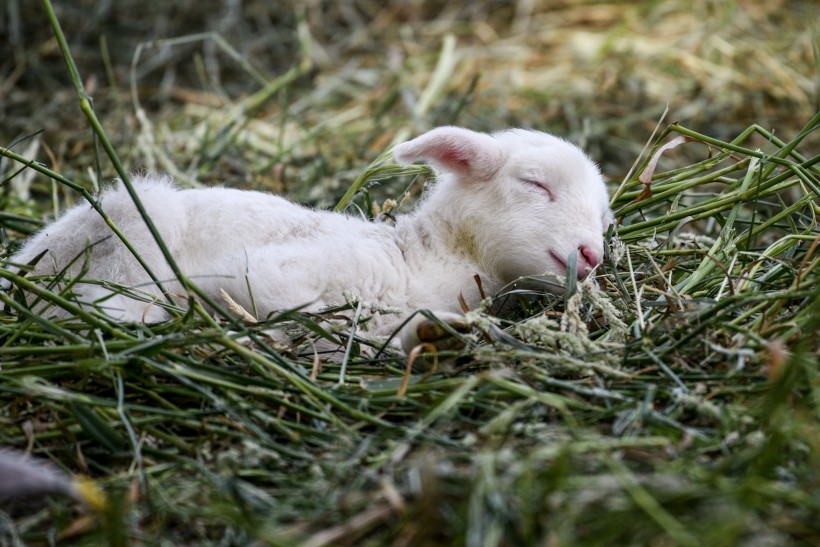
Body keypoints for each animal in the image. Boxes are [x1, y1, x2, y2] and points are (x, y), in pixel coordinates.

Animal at [4, 127, 608, 354]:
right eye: (535, 184)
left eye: (603, 215)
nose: (592, 255)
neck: (420, 256)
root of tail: (25, 264)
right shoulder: (265, 273)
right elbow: (318, 319)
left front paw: (436, 333)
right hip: (130, 226)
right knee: (106, 308)